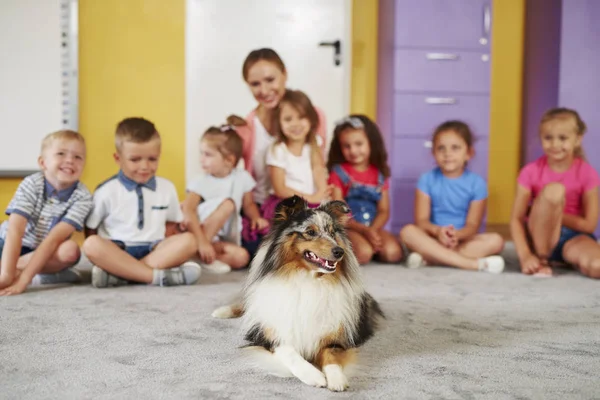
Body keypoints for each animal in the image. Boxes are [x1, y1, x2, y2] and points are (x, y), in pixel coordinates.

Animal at [212, 196, 384, 390]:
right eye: (310, 231)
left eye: (332, 233)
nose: (339, 252)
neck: (307, 279)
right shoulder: (267, 335)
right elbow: (289, 351)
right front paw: (314, 375)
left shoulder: (337, 337)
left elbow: (331, 355)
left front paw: (336, 378)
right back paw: (221, 311)